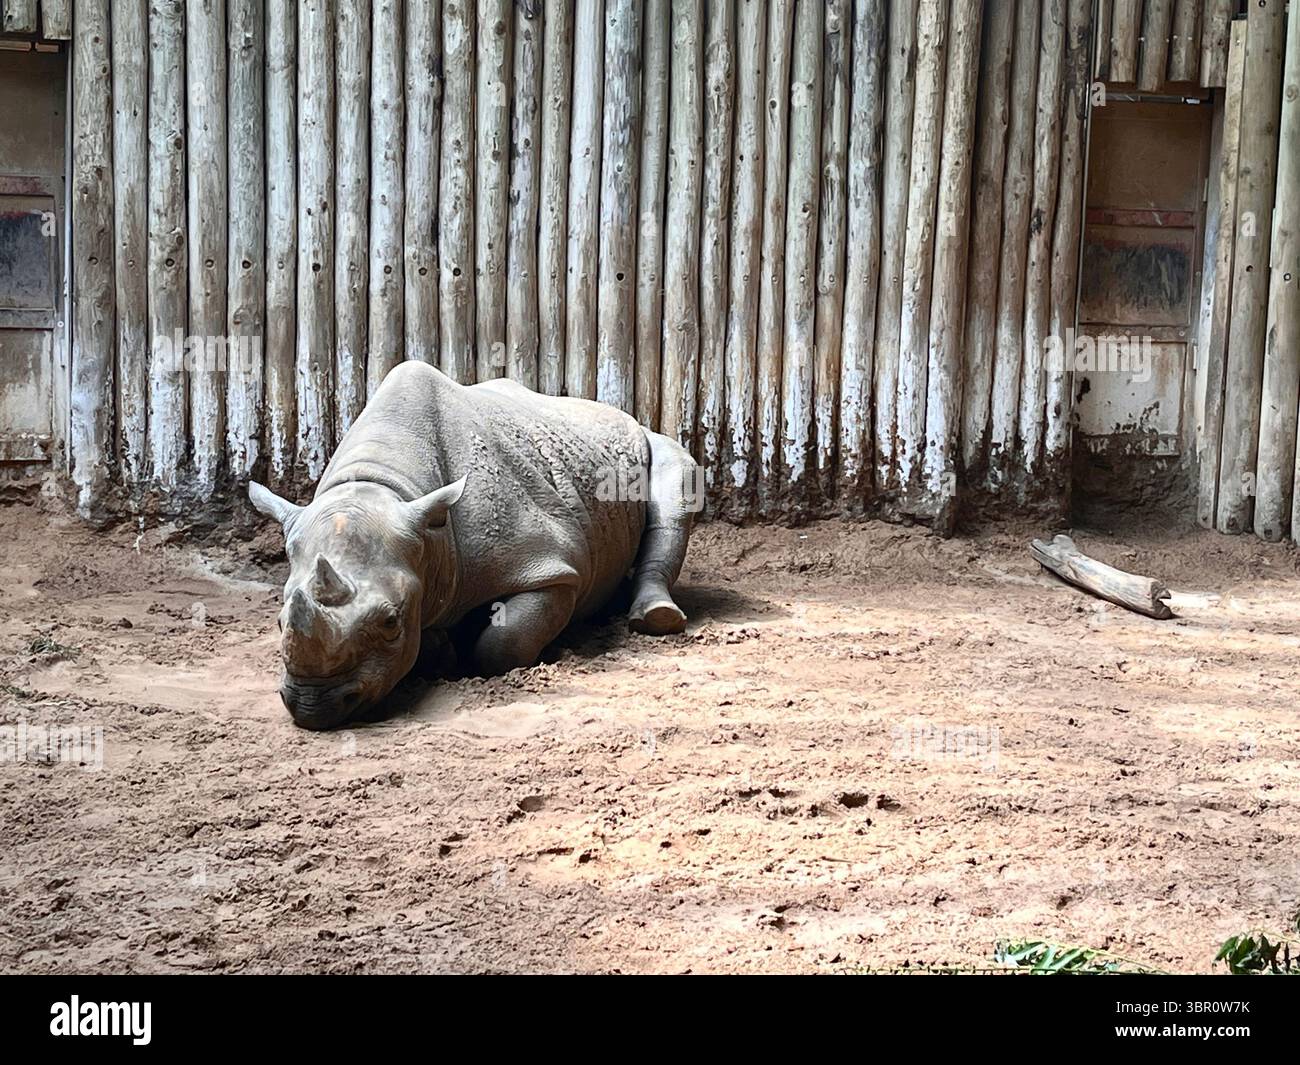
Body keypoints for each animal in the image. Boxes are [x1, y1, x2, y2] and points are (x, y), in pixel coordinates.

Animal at [249, 361, 699, 730]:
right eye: (278, 621)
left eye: (391, 623)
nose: (313, 708)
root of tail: (623, 413)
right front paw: (441, 650)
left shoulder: (553, 568)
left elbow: (504, 642)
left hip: (651, 441)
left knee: (676, 490)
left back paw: (655, 619)